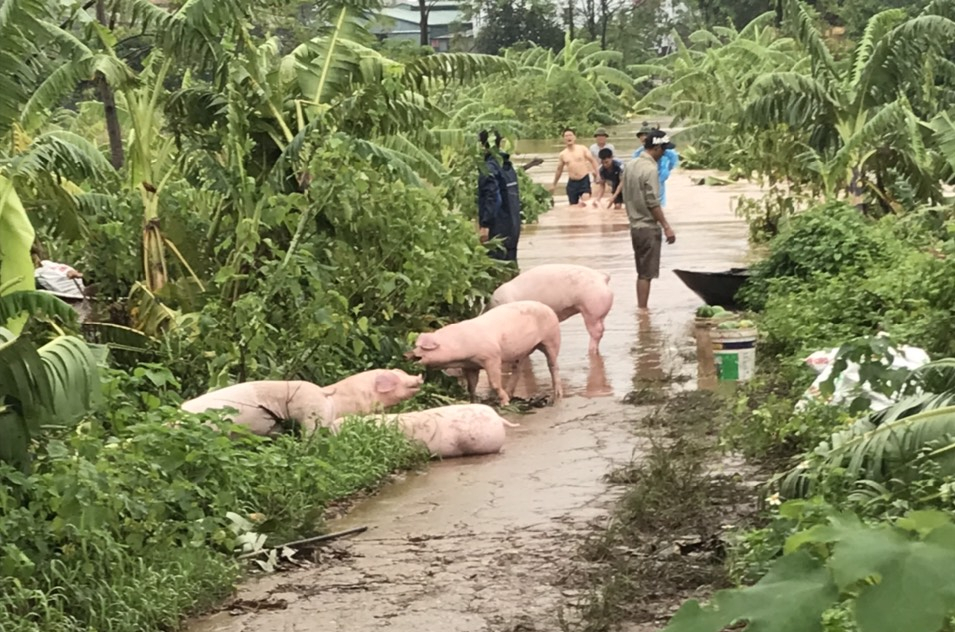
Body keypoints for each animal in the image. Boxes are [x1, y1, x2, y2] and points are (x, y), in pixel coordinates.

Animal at [408, 300, 564, 404]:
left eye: (422, 348)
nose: (406, 354)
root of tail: (547, 307)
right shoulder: (470, 366)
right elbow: (471, 386)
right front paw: (473, 402)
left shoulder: (492, 357)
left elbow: (494, 383)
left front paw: (504, 403)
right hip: (522, 352)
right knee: (517, 370)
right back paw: (510, 394)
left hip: (551, 338)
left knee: (553, 365)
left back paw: (557, 395)